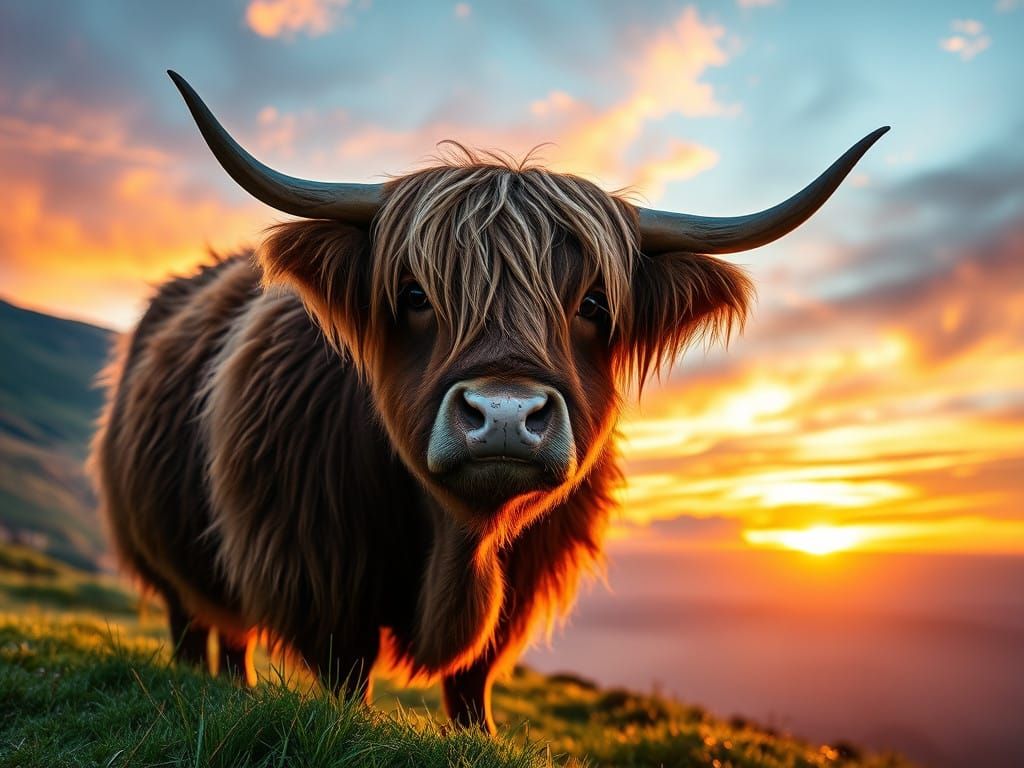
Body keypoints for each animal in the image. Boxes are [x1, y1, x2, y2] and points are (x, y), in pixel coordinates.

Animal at [90, 70, 886, 732]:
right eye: (415, 294)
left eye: (593, 303)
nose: (504, 415)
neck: (457, 544)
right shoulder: (317, 566)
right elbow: (348, 673)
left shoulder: (523, 580)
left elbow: (473, 677)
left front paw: (479, 737)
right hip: (160, 545)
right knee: (199, 621)